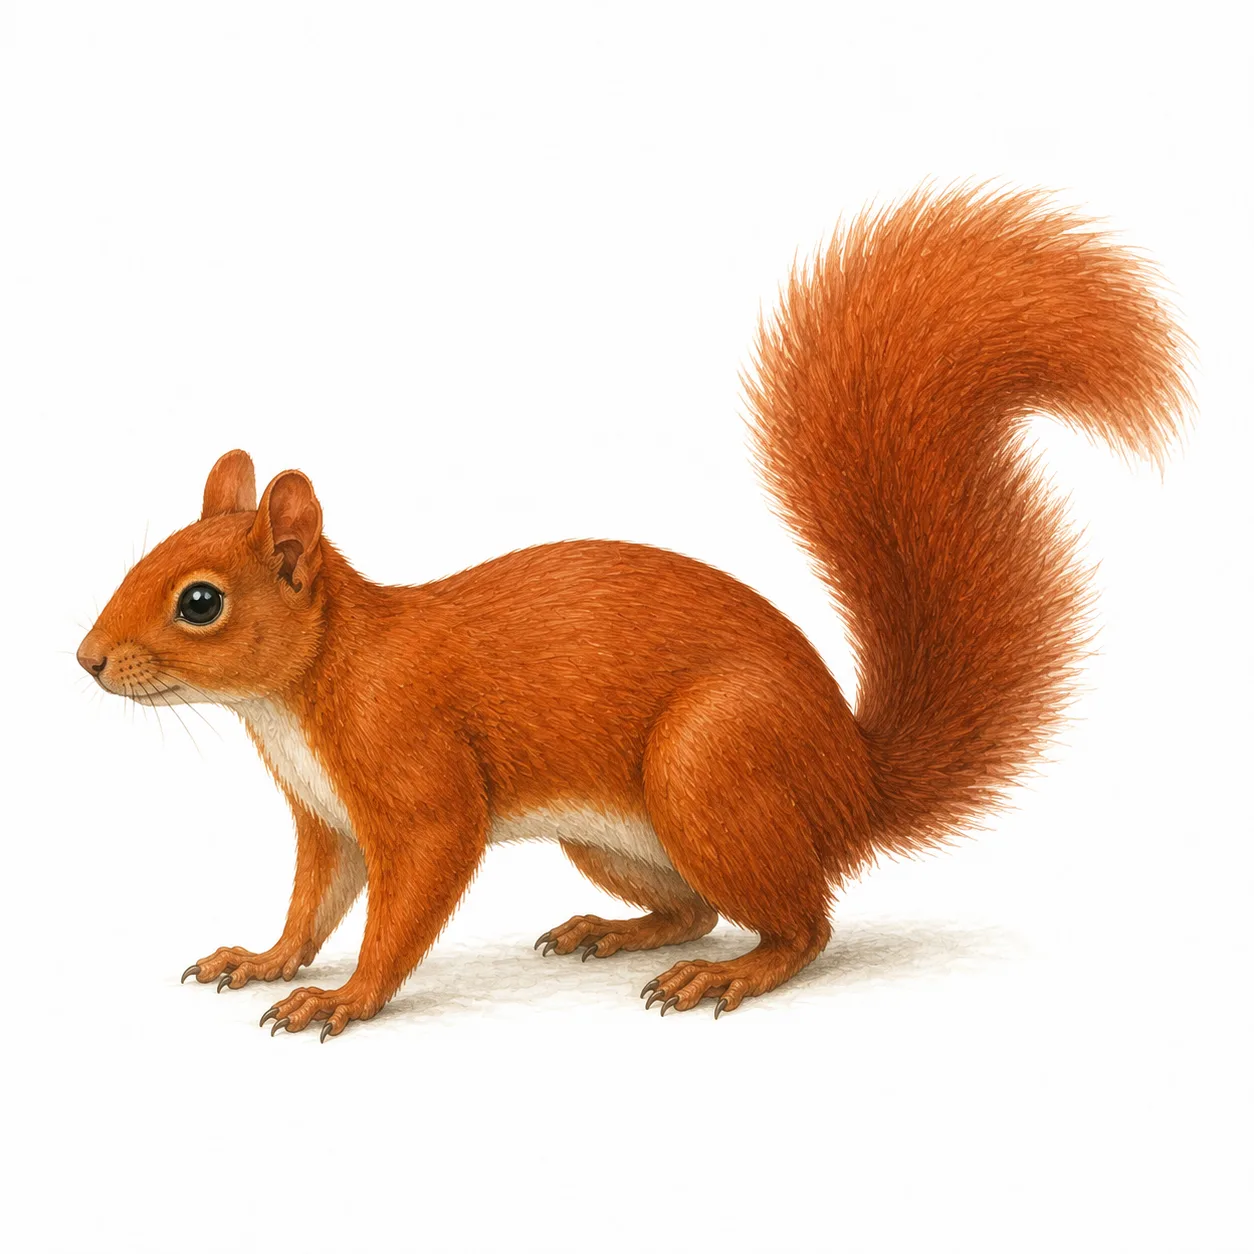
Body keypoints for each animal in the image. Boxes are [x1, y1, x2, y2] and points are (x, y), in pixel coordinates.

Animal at [77, 185, 1191, 1039]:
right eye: (142, 562)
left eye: (199, 601)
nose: (86, 659)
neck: (303, 692)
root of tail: (851, 784)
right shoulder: (327, 818)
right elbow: (313, 905)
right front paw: (265, 960)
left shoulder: (419, 780)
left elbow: (408, 900)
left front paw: (346, 998)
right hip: (620, 836)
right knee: (696, 909)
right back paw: (613, 933)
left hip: (711, 769)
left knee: (805, 924)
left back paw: (730, 974)